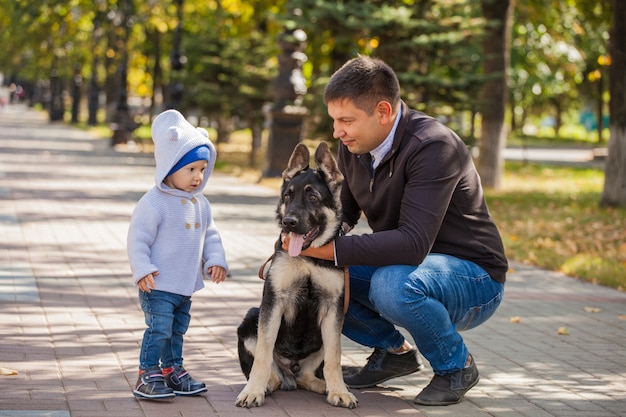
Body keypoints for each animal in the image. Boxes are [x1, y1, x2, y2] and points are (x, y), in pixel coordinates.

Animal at [234, 141, 358, 408]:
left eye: (313, 197)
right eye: (287, 196)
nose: (288, 222)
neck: (309, 256)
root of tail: (290, 371)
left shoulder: (333, 309)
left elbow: (334, 358)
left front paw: (339, 391)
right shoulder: (273, 302)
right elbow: (263, 354)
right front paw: (253, 391)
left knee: (307, 375)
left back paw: (324, 386)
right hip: (251, 318)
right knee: (272, 373)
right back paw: (264, 386)